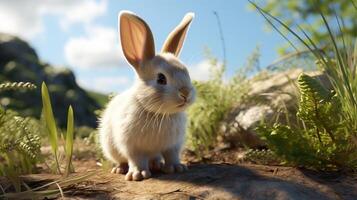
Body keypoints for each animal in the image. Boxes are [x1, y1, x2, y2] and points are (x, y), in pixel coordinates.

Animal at [98, 10, 195, 181]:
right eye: (161, 78)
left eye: (186, 72)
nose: (186, 93)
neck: (158, 113)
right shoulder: (132, 146)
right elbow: (136, 160)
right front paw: (138, 175)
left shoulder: (173, 145)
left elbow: (172, 156)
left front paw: (177, 168)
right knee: (122, 160)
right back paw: (120, 169)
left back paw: (157, 165)